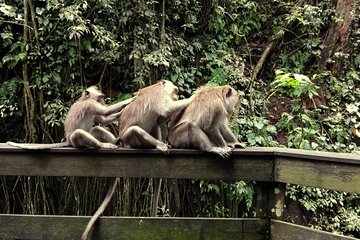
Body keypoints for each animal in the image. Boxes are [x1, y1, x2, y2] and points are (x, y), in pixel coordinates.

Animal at [6, 86, 134, 149]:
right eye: (100, 97)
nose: (103, 101)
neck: (84, 99)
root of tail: (68, 141)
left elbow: (102, 120)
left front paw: (121, 112)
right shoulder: (90, 105)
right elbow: (105, 112)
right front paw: (128, 101)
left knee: (96, 129)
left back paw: (115, 141)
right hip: (75, 142)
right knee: (78, 133)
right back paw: (103, 145)